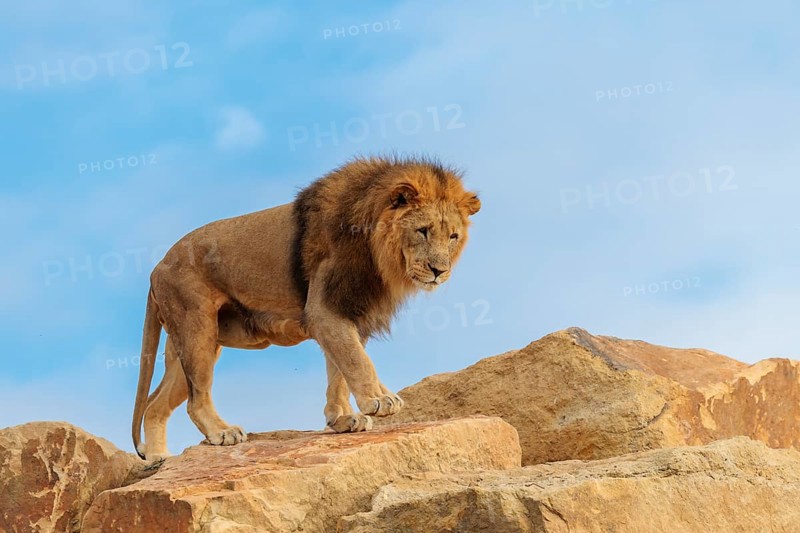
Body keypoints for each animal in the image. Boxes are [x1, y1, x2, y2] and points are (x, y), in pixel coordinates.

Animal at [131, 156, 481, 460]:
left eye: (453, 236)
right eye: (423, 231)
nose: (439, 271)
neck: (378, 254)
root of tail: (157, 267)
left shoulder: (351, 313)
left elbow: (339, 369)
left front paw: (342, 419)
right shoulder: (324, 310)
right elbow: (356, 360)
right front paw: (379, 399)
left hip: (188, 345)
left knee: (155, 404)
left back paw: (158, 458)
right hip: (197, 329)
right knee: (195, 399)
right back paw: (222, 432)